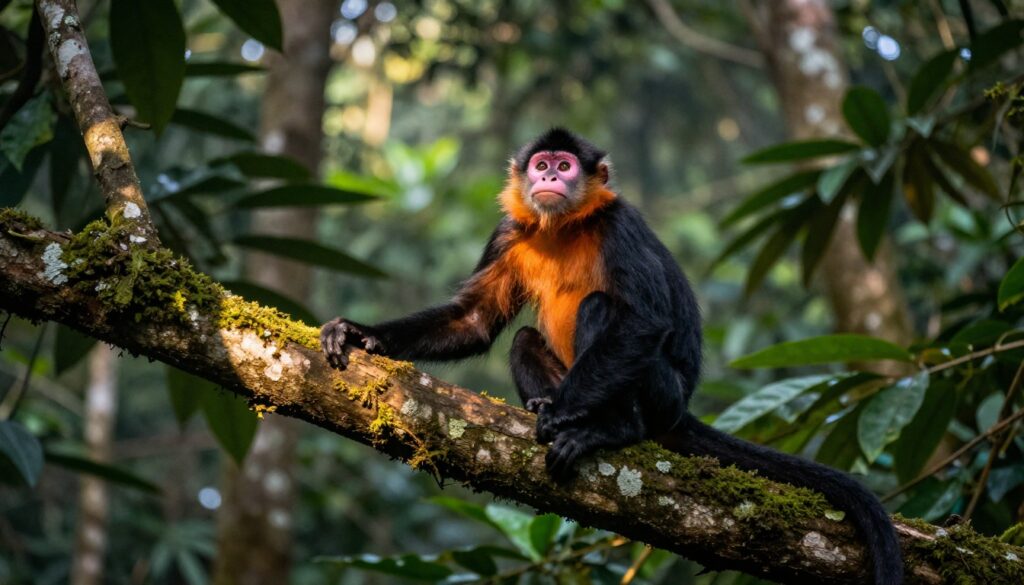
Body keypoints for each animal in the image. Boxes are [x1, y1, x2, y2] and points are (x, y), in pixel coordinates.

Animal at [320, 128, 903, 585]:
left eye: (565, 166)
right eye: (541, 166)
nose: (550, 179)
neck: (564, 225)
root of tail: (681, 410)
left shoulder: (619, 222)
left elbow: (642, 320)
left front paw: (566, 418)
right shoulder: (511, 230)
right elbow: (476, 322)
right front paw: (360, 334)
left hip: (662, 391)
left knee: (606, 311)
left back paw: (610, 426)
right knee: (525, 338)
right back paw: (544, 405)